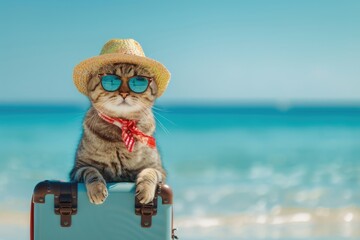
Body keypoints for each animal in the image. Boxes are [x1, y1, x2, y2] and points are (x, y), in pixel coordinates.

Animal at [69, 63, 167, 204]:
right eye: (111, 80)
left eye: (138, 81)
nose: (124, 93)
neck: (122, 127)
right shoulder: (78, 168)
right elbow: (91, 171)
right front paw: (98, 189)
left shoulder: (158, 169)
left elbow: (149, 173)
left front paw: (145, 191)